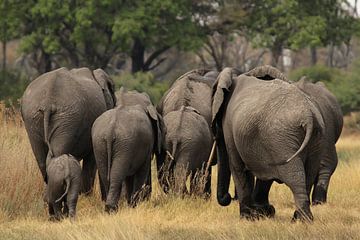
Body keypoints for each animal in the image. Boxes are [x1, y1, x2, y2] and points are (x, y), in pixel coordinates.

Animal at [212, 67, 324, 221]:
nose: (227, 197)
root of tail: (308, 116)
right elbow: (264, 174)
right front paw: (262, 213)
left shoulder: (229, 127)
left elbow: (238, 168)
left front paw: (247, 218)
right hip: (314, 138)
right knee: (309, 174)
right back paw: (299, 218)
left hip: (282, 138)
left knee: (294, 177)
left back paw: (302, 220)